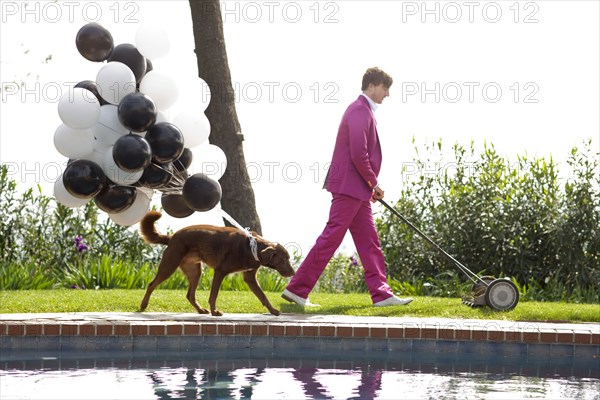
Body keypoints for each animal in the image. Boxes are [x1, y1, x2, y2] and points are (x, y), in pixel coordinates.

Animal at [137, 211, 296, 318]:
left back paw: (200, 310)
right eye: (284, 259)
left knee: (190, 295)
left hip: (195, 271)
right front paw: (214, 312)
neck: (253, 247)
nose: (293, 273)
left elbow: (263, 296)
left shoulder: (249, 278)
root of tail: (172, 237)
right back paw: (143, 305)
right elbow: (213, 295)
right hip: (169, 265)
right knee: (151, 284)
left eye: (288, 258)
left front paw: (272, 310)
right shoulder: (220, 271)